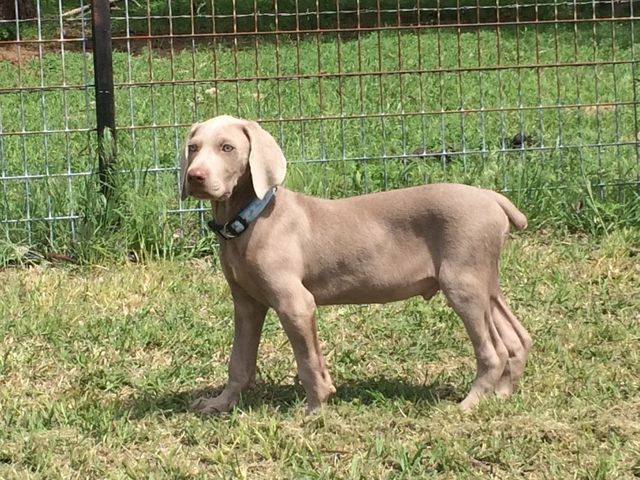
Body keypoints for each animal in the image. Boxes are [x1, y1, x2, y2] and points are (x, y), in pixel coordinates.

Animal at [179, 114, 528, 414]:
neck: (249, 219)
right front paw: (220, 403)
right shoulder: (246, 304)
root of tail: (494, 198)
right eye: (193, 147)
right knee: (518, 338)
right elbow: (238, 362)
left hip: (462, 283)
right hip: (483, 281)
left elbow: (308, 361)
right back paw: (502, 393)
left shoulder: (296, 304)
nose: (194, 177)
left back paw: (471, 403)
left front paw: (315, 410)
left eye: (227, 148)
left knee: (493, 350)